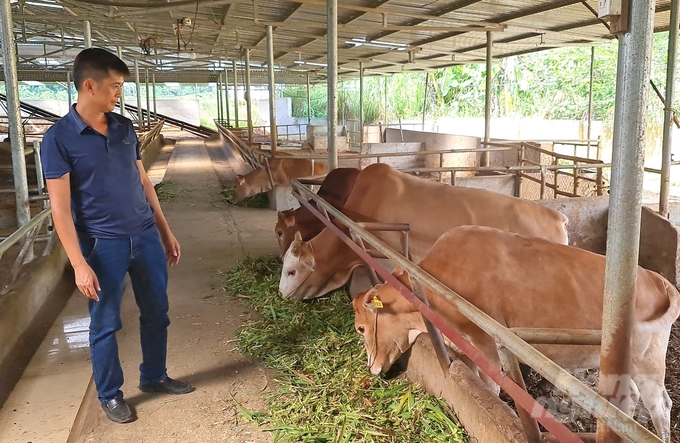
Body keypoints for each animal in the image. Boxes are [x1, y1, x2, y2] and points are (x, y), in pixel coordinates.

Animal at [354, 227, 676, 442]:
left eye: (361, 327)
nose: (371, 367)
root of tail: (659, 280)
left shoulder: (485, 340)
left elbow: (491, 387)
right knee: (629, 396)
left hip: (649, 363)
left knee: (660, 406)